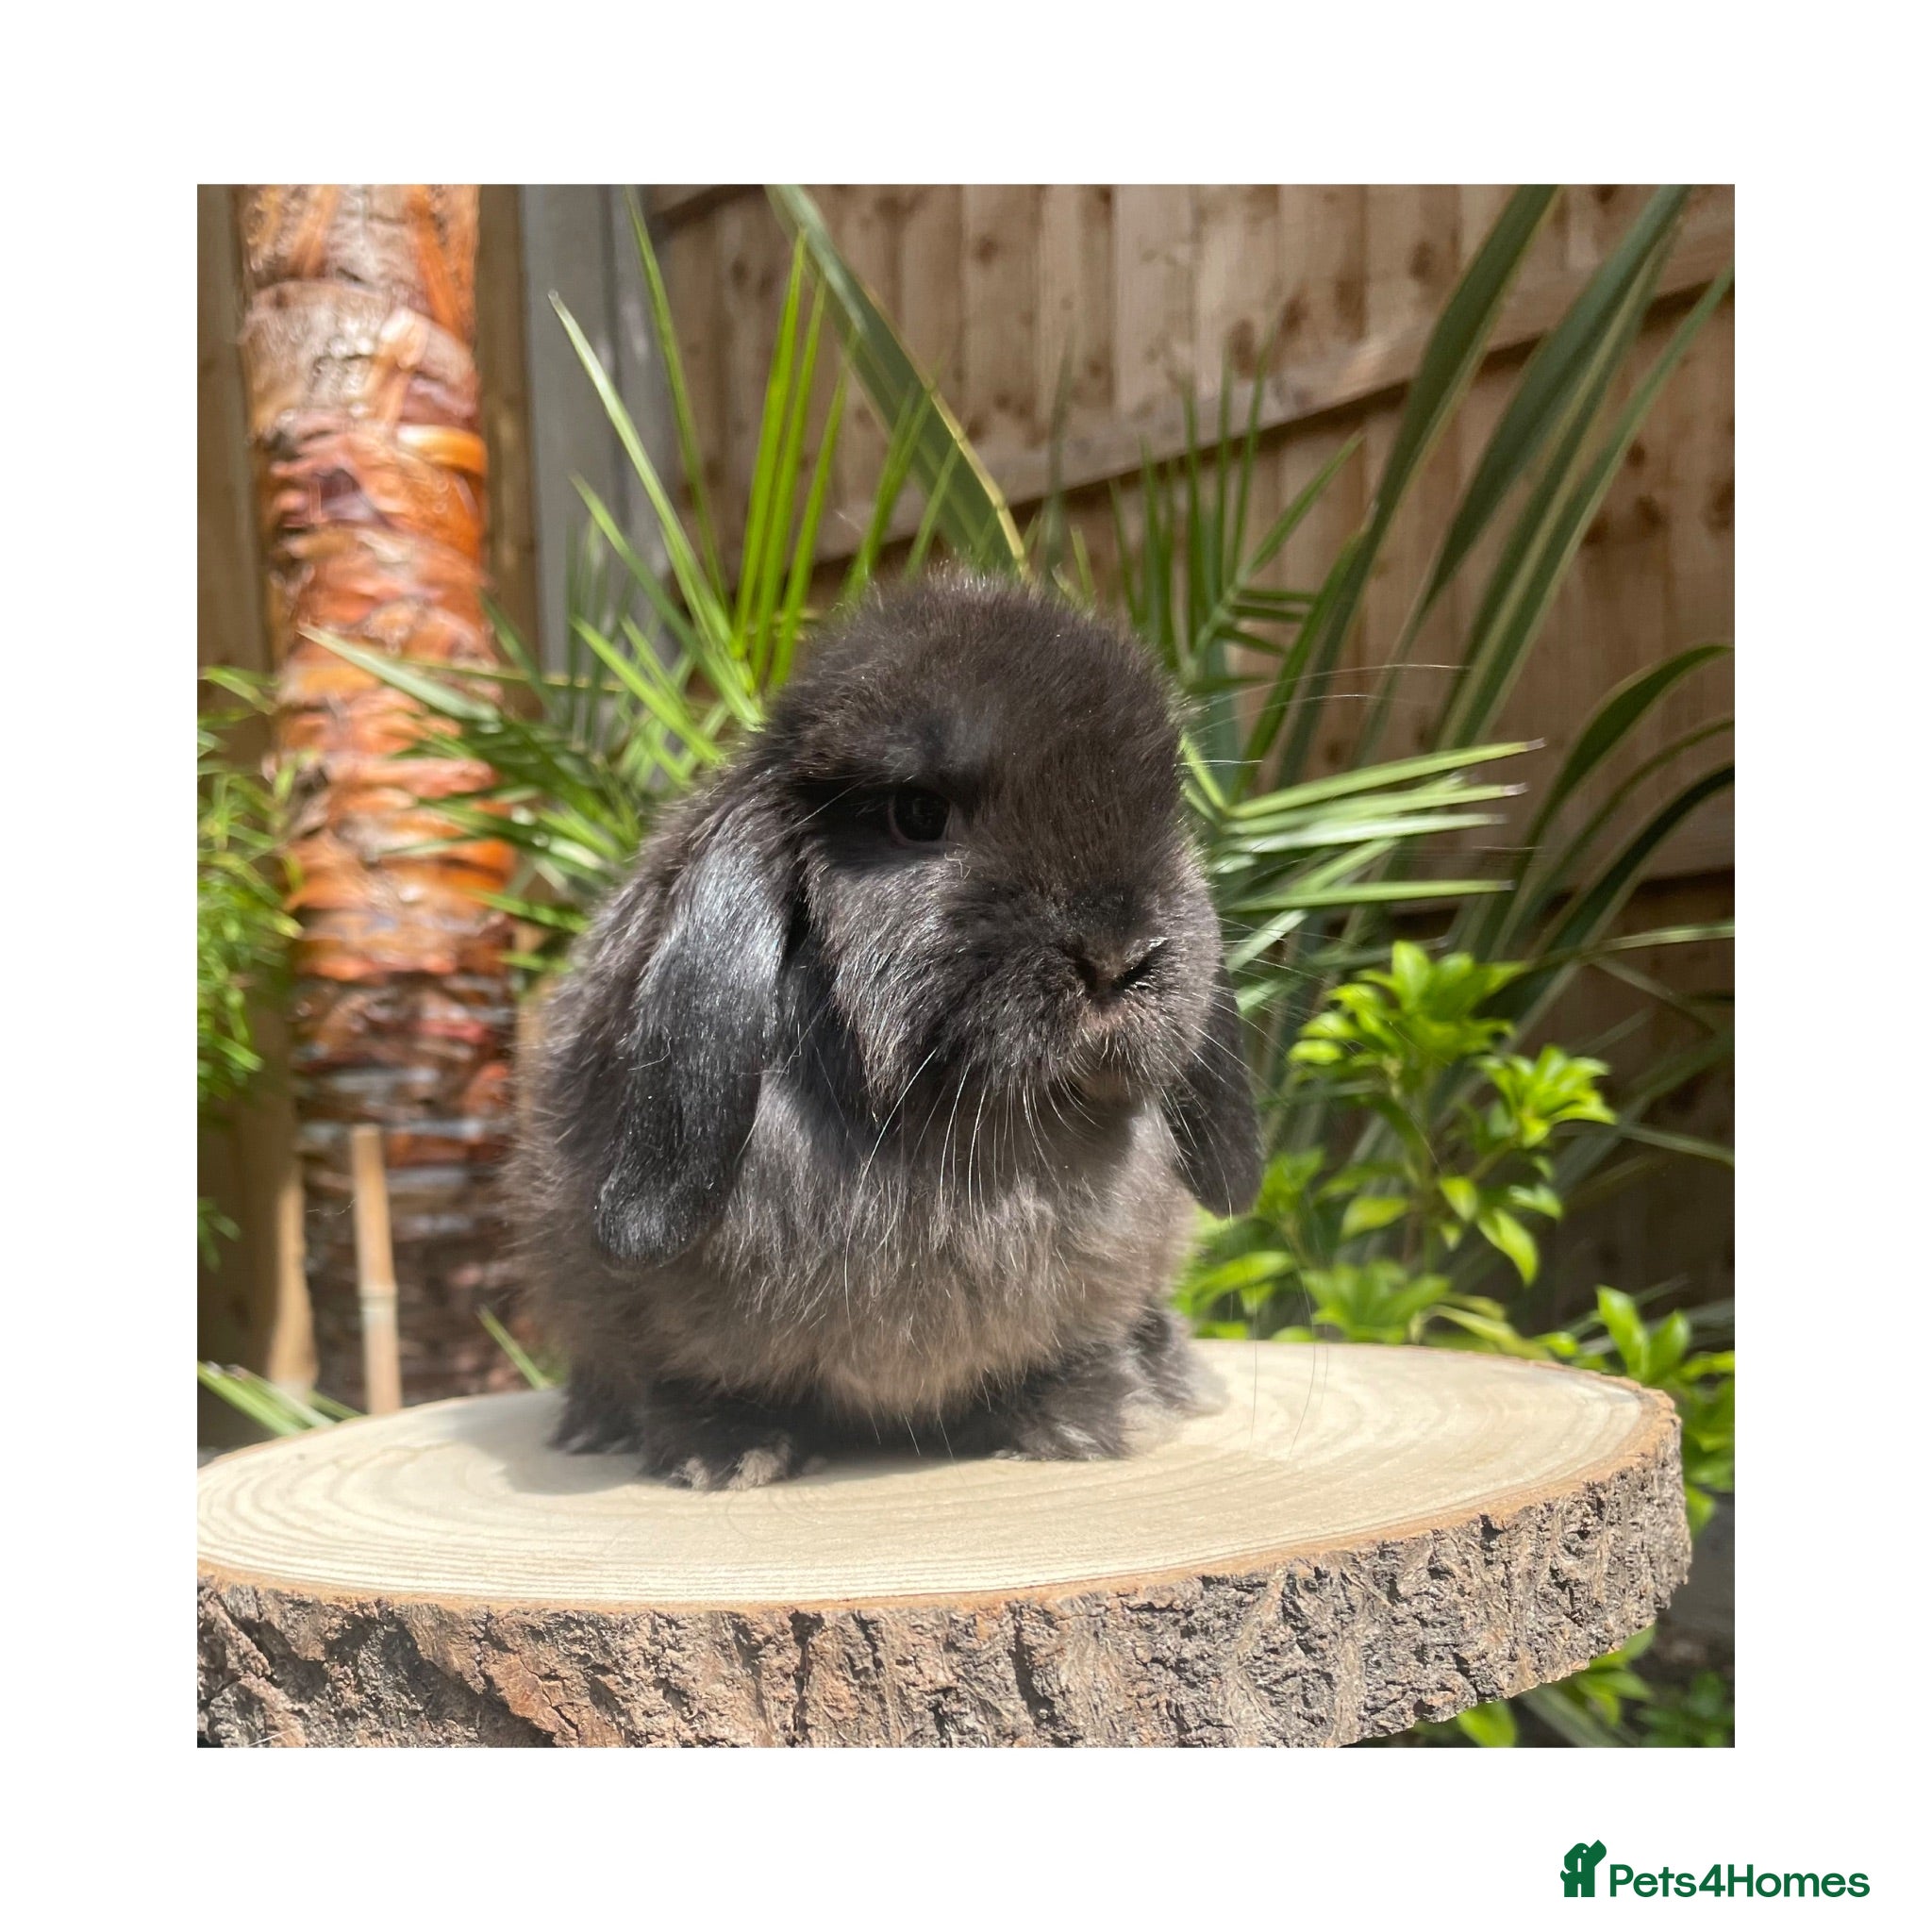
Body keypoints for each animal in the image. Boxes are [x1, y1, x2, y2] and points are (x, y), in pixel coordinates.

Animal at [510, 573, 1260, 1489]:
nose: (1118, 954)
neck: (968, 1130)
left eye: (1165, 809)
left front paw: (1089, 1422)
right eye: (917, 815)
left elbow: (1076, 1346)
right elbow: (687, 1368)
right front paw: (723, 1455)